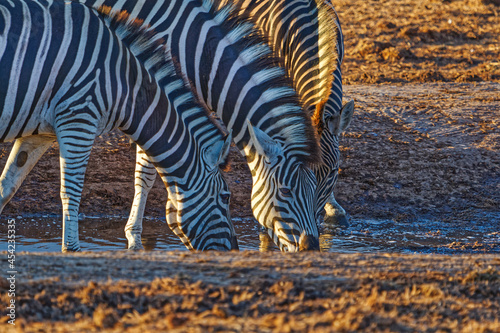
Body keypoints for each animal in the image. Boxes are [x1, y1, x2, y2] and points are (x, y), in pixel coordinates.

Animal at [0, 0, 320, 249]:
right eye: (286, 192)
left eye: (317, 192)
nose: (312, 248)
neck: (193, 47)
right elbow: (146, 172)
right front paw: (136, 234)